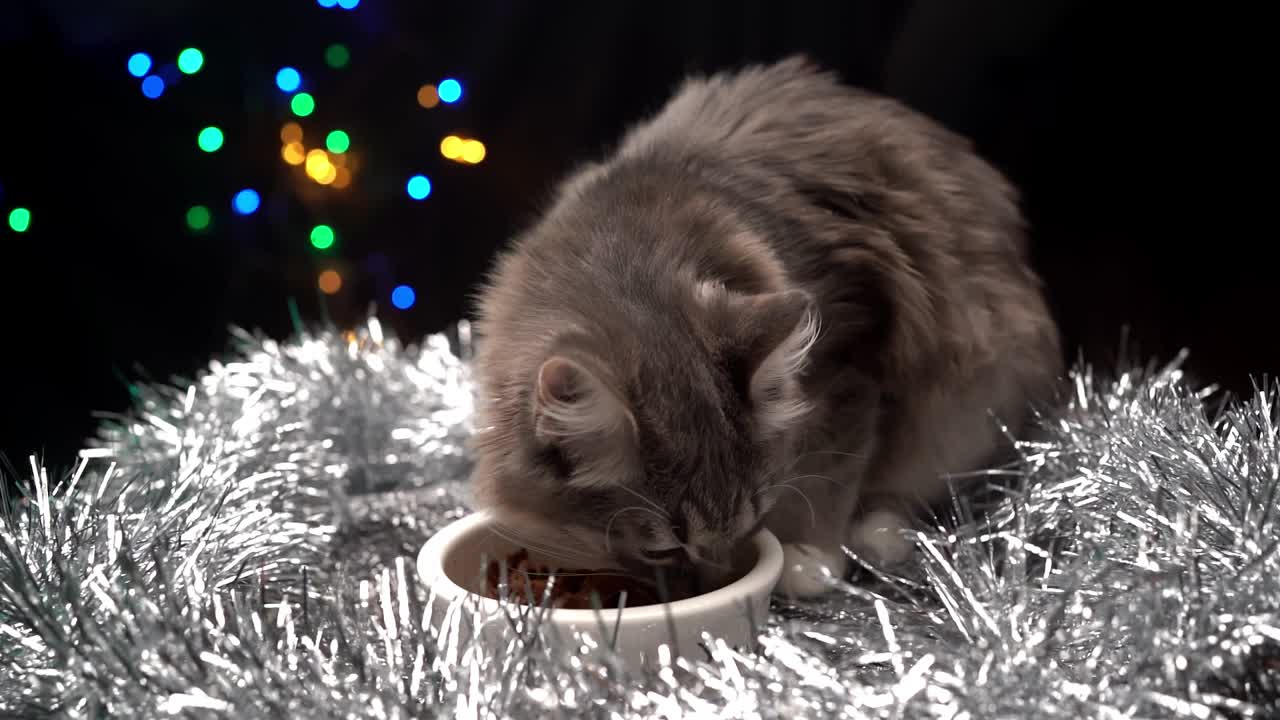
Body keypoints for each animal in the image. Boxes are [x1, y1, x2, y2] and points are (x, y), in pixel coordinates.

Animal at [468, 54, 1059, 594]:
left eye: (748, 522)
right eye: (662, 549)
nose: (718, 579)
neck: (624, 259)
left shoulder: (850, 358)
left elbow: (830, 478)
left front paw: (809, 559)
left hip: (971, 395)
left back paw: (880, 534)